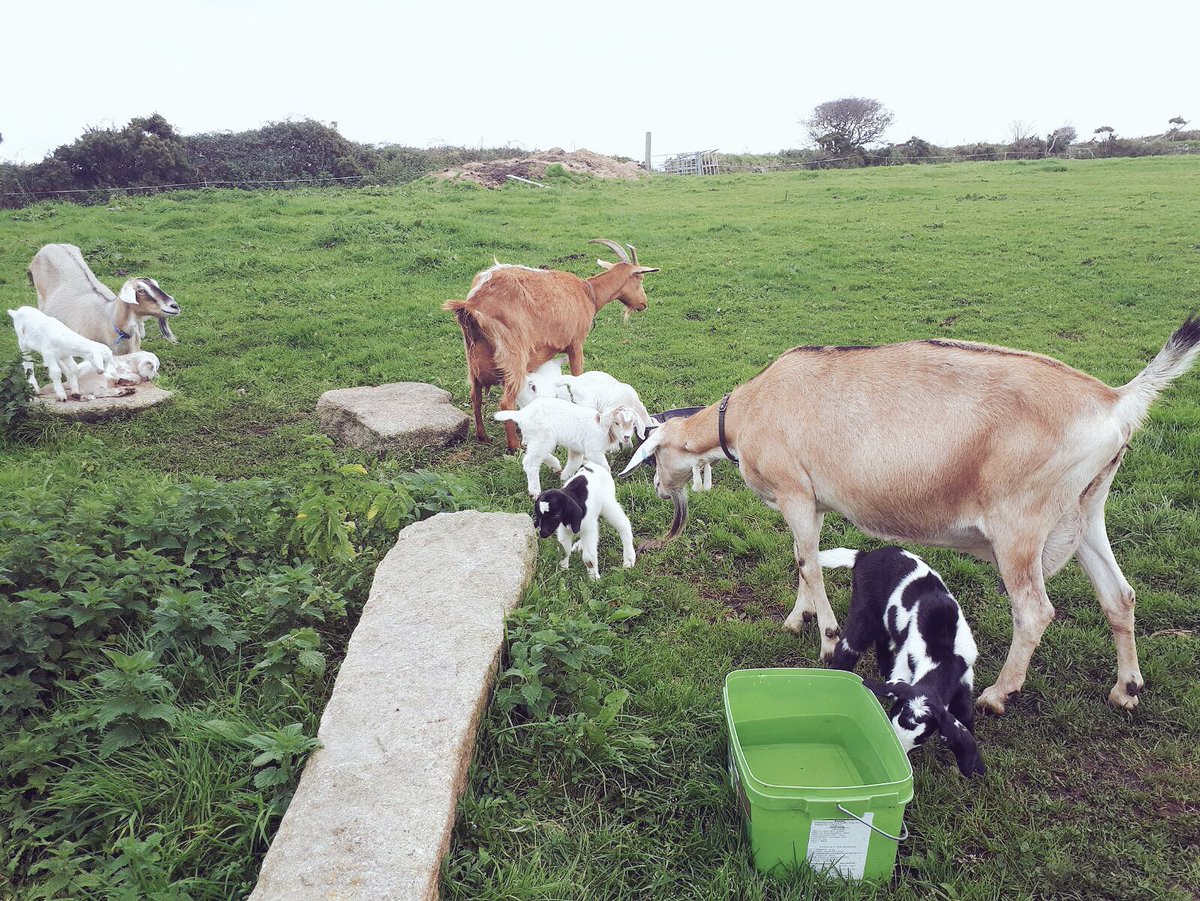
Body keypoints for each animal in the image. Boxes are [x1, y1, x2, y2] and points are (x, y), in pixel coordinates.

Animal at [445, 239, 658, 452]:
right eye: (640, 278)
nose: (644, 304)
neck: (588, 293)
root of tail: (473, 304)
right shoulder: (576, 344)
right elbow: (578, 375)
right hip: (513, 356)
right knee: (506, 402)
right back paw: (514, 447)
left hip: (472, 359)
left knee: (475, 396)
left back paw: (483, 437)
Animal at [494, 397, 635, 495]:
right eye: (616, 423)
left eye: (633, 424)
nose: (626, 437)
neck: (603, 427)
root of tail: (522, 414)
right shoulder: (593, 450)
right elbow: (604, 467)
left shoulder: (577, 449)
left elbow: (574, 463)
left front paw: (565, 479)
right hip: (543, 436)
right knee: (530, 461)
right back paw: (535, 491)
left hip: (537, 439)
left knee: (536, 454)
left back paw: (556, 466)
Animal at [621, 318, 1200, 714]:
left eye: (652, 457)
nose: (658, 490)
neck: (746, 413)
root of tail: (1117, 401)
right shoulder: (810, 503)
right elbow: (804, 559)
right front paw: (796, 619)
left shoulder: (795, 493)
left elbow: (807, 563)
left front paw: (826, 637)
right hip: (1085, 511)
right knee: (1120, 596)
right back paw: (1126, 690)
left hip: (1020, 524)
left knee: (1035, 611)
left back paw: (998, 694)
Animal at [820, 546, 984, 777]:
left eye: (920, 740)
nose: (899, 755)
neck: (941, 655)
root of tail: (864, 555)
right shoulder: (907, 662)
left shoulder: (965, 676)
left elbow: (965, 713)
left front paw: (974, 767)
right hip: (864, 607)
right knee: (849, 645)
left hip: (885, 619)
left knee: (883, 642)